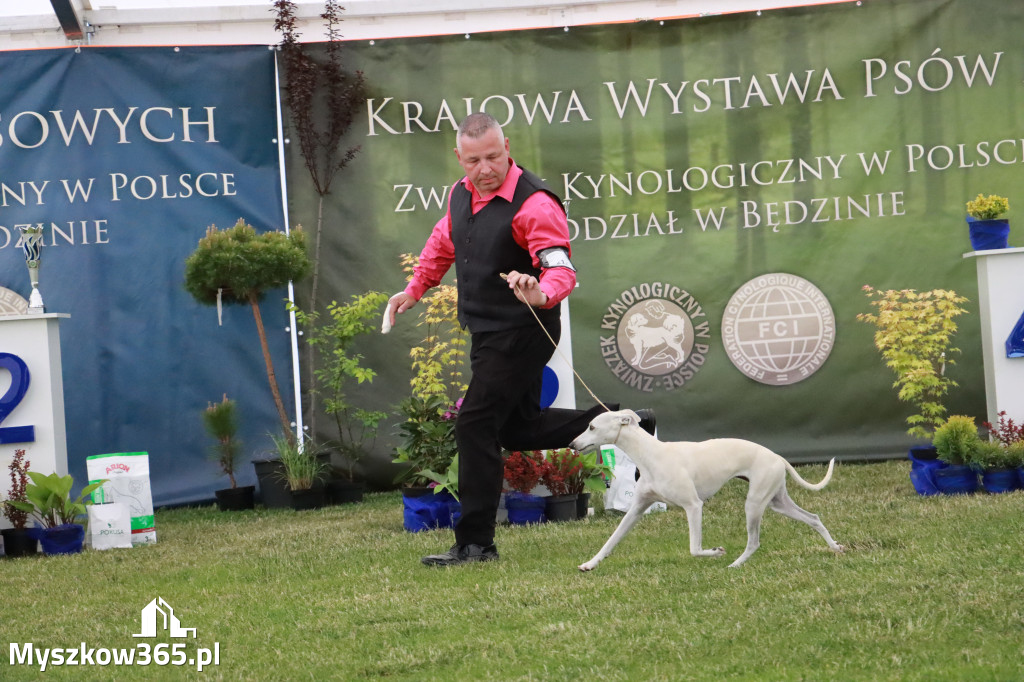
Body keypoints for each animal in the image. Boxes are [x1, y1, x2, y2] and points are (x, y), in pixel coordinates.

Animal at [573, 409, 843, 569]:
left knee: (754, 541)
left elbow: (694, 549)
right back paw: (835, 547)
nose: (572, 444)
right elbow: (612, 539)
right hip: (777, 501)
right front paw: (590, 564)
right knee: (813, 518)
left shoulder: (693, 506)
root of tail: (777, 457)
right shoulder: (637, 508)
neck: (651, 454)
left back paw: (734, 564)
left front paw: (716, 551)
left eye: (592, 427)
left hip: (754, 504)